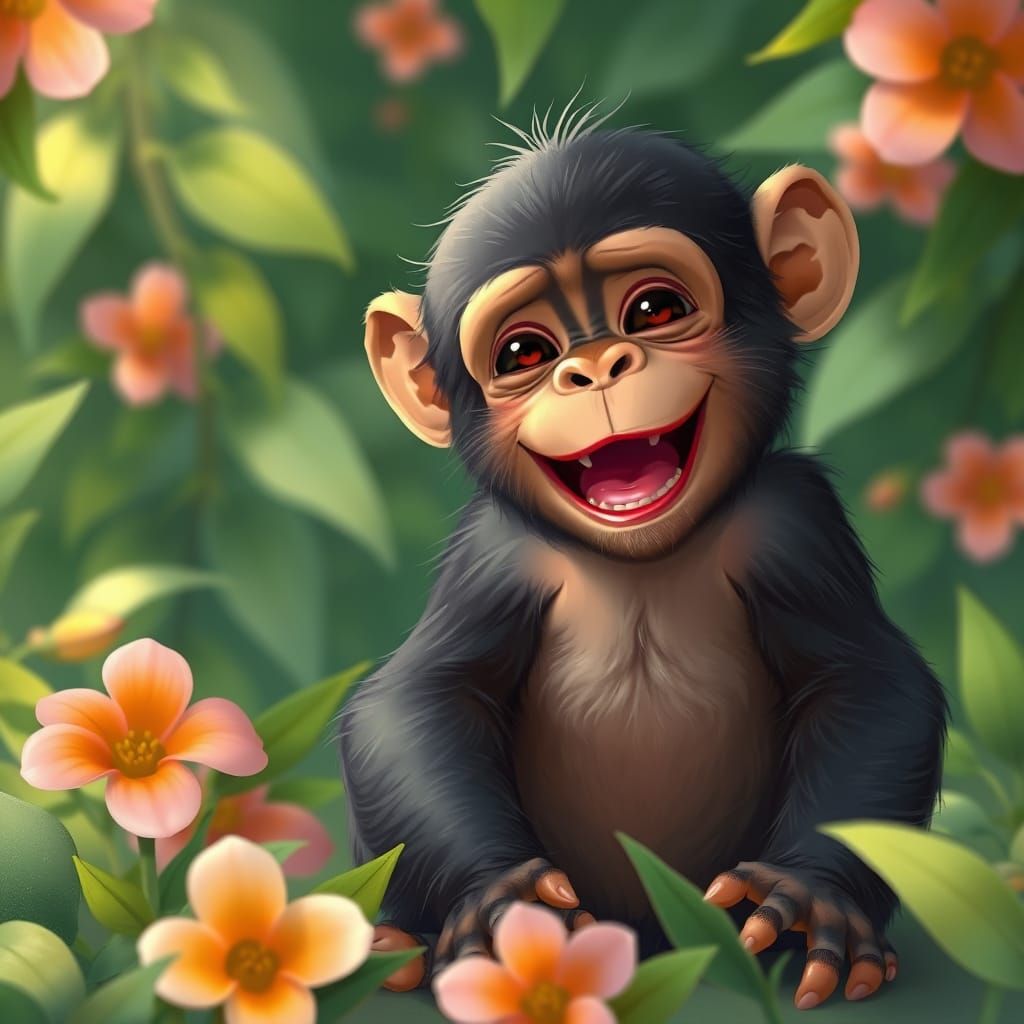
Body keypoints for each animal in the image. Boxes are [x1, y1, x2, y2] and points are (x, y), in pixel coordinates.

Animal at [338, 108, 947, 1011]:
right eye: (524, 353)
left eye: (655, 308)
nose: (596, 368)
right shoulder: (493, 557)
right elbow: (419, 697)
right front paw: (498, 900)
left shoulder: (795, 523)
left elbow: (869, 682)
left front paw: (811, 899)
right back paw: (399, 942)